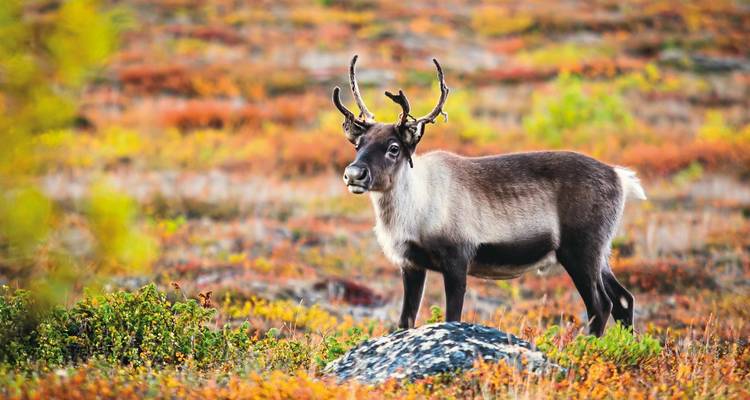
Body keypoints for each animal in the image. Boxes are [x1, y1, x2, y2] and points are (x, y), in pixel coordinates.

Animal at [332, 55, 647, 337]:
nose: (354, 174)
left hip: (581, 250)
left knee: (600, 305)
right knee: (624, 299)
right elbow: (405, 321)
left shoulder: (457, 259)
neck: (414, 209)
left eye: (394, 148)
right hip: (601, 253)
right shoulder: (411, 265)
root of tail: (619, 176)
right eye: (359, 144)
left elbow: (452, 316)